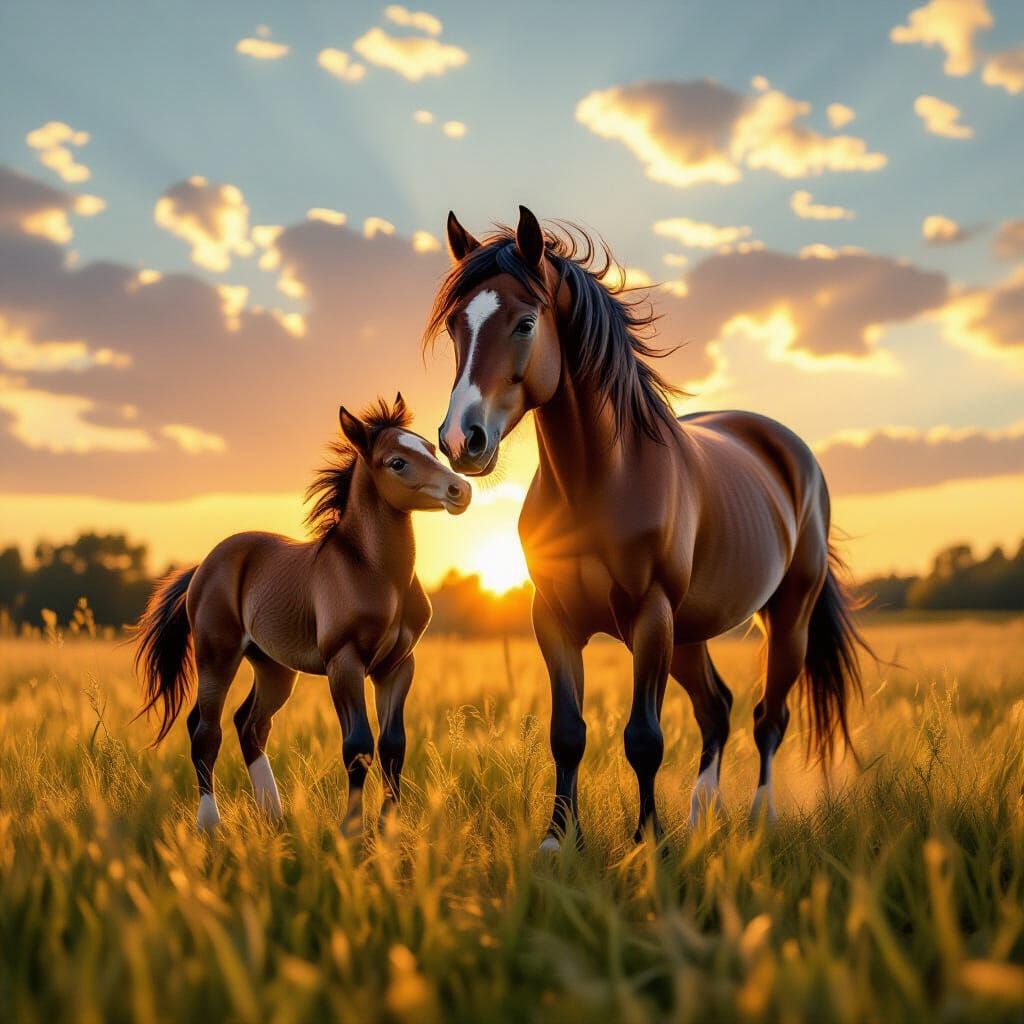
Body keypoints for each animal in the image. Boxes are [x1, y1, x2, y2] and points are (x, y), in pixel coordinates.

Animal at [134, 395, 471, 833]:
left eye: (431, 449)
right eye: (396, 462)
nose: (460, 489)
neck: (373, 572)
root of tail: (203, 565)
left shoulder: (397, 666)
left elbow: (393, 745)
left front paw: (388, 828)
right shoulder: (344, 662)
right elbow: (358, 745)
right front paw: (351, 830)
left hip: (274, 667)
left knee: (250, 724)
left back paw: (273, 816)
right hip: (217, 656)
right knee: (205, 729)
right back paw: (210, 824)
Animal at [429, 207, 871, 850]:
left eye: (526, 322)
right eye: (456, 326)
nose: (463, 440)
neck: (598, 482)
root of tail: (788, 450)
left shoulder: (650, 616)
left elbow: (644, 738)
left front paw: (647, 842)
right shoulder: (554, 619)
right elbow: (568, 732)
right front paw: (559, 839)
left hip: (786, 618)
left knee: (769, 717)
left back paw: (758, 820)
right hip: (688, 635)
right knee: (717, 709)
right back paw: (701, 816)